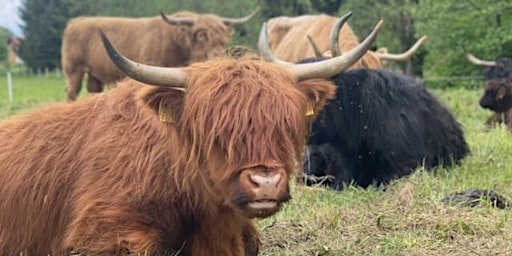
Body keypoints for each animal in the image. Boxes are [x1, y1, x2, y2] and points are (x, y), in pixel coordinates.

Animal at [61, 8, 260, 102]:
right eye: (200, 34)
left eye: (223, 37)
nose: (217, 55)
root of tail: (76, 21)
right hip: (74, 70)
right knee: (72, 92)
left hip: (94, 76)